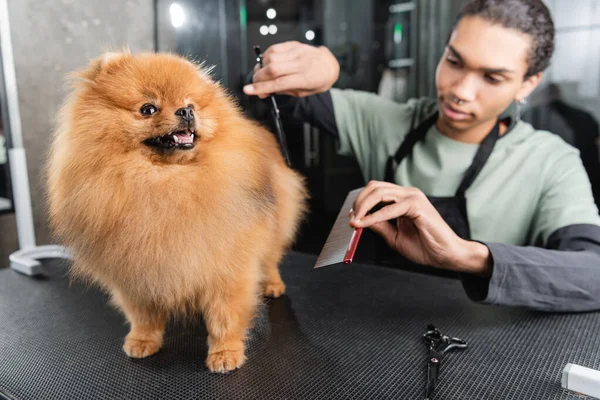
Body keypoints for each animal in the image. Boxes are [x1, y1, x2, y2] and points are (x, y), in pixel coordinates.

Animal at [46, 51, 308, 374]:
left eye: (191, 104)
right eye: (148, 109)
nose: (185, 111)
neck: (165, 182)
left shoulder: (227, 265)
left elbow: (225, 316)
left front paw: (225, 353)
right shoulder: (134, 273)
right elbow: (143, 315)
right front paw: (143, 340)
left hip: (275, 221)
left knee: (270, 257)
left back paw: (271, 284)